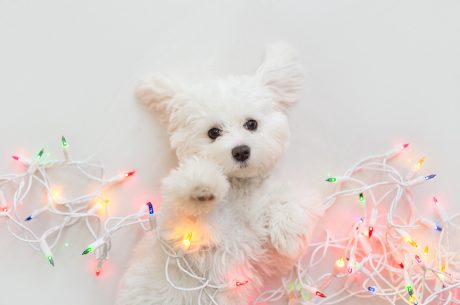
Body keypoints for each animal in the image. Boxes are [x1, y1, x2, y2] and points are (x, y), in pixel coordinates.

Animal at [116, 43, 320, 304]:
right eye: (213, 132)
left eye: (251, 124)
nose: (241, 151)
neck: (238, 189)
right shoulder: (182, 232)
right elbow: (186, 197)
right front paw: (202, 188)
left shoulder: (266, 252)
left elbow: (294, 201)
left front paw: (288, 233)